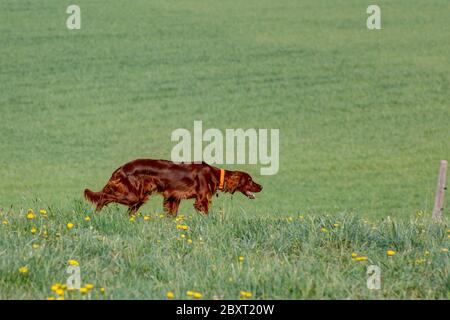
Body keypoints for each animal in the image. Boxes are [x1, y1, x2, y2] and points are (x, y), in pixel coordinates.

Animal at [83, 159, 264, 216]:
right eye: (250, 180)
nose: (261, 187)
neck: (213, 174)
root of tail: (121, 168)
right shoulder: (201, 200)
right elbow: (206, 213)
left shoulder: (173, 197)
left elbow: (172, 215)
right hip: (132, 196)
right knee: (104, 197)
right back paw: (97, 213)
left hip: (137, 199)